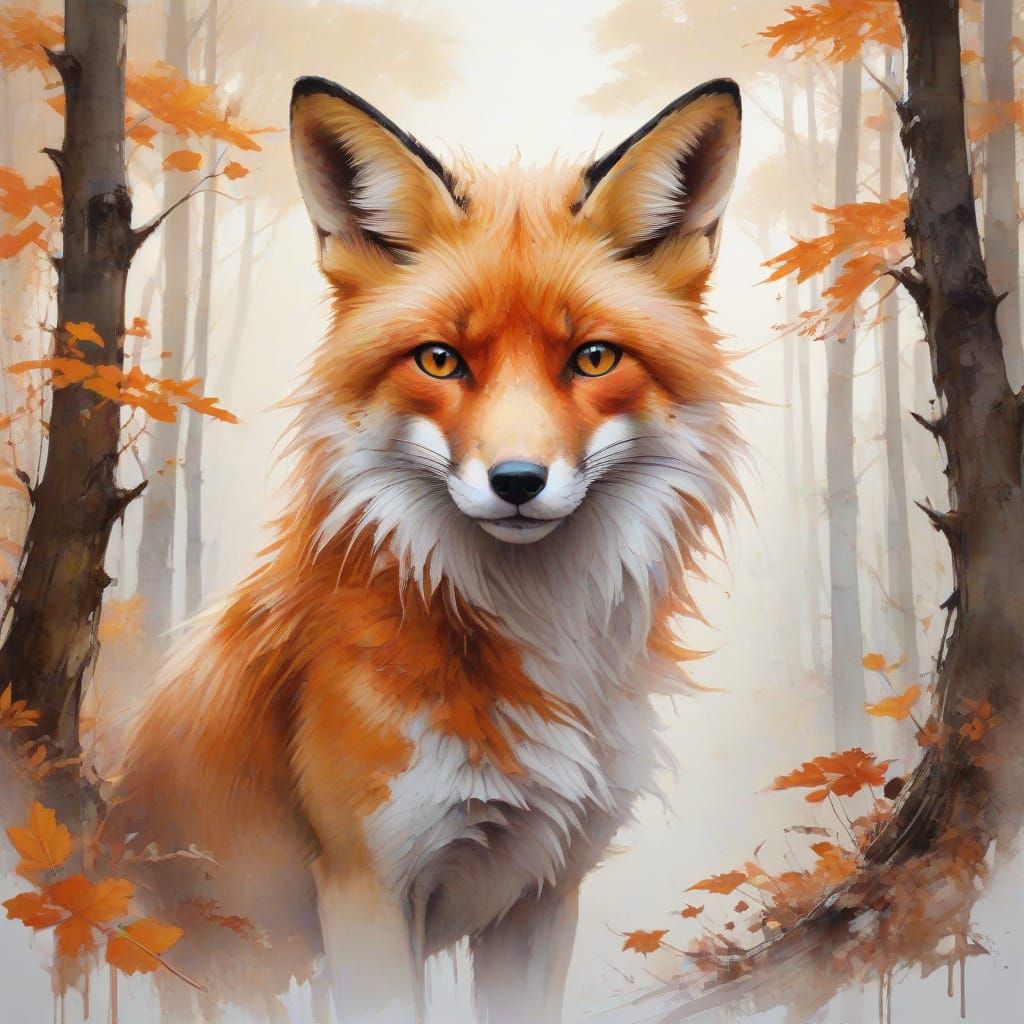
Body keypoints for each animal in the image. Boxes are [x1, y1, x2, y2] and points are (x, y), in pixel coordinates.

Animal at [108, 75, 743, 1024]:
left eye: (593, 358)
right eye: (440, 360)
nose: (516, 481)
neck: (532, 640)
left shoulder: (544, 890)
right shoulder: (366, 884)